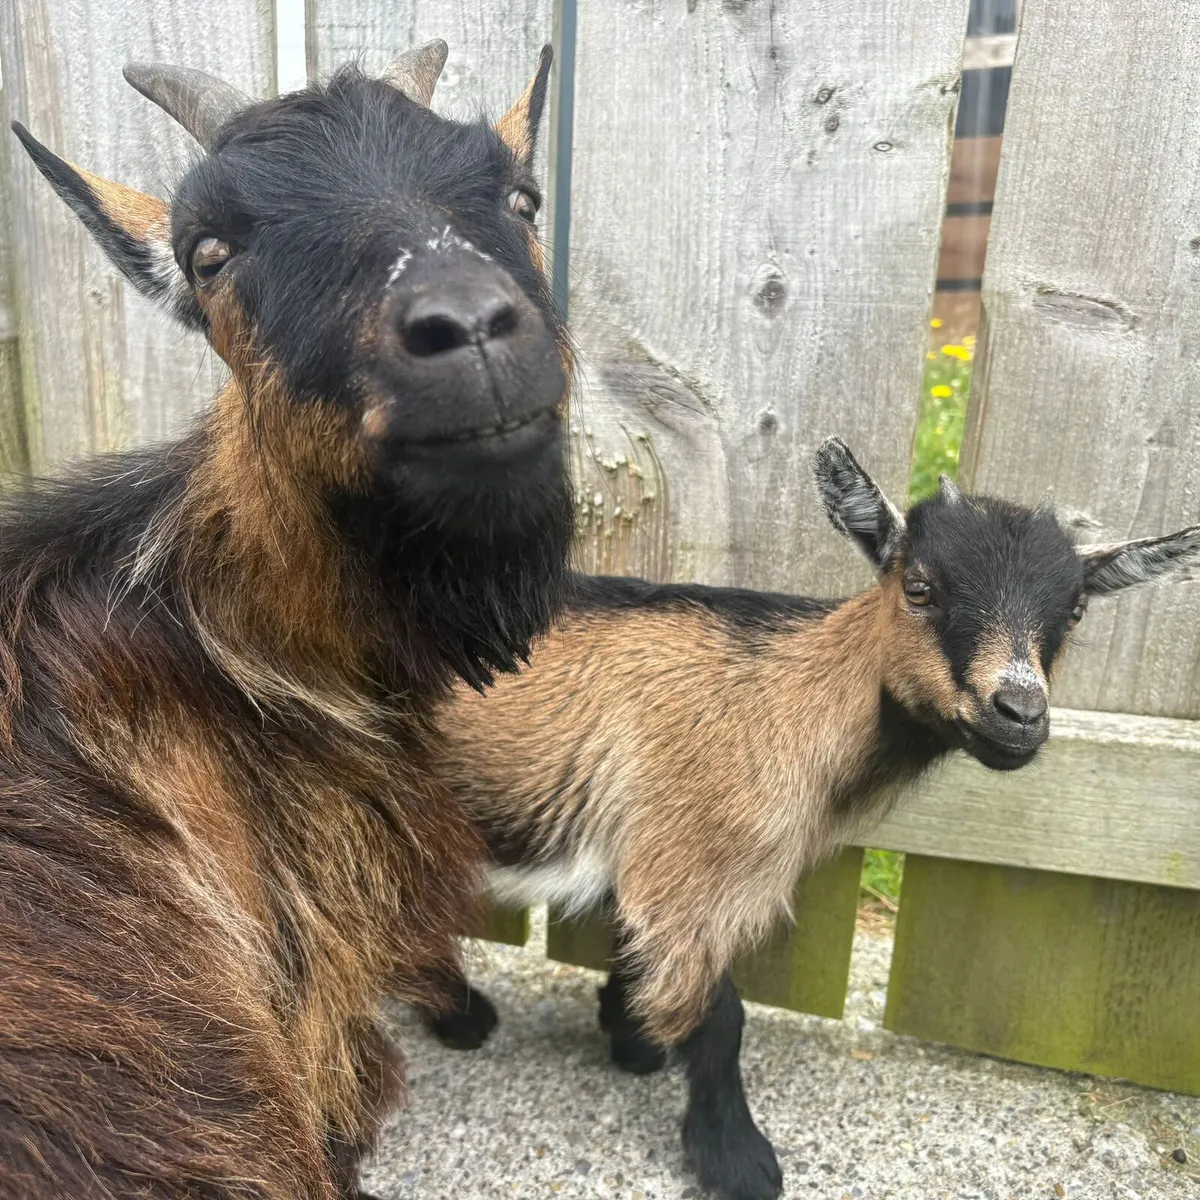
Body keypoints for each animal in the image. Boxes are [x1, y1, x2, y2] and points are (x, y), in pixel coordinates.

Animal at [429, 437, 1200, 1200]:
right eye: (919, 587)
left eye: (1074, 613)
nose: (1018, 715)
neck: (789, 695)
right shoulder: (691, 862)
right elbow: (721, 1017)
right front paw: (736, 1160)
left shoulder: (651, 849)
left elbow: (634, 946)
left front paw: (634, 1041)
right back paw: (462, 1019)